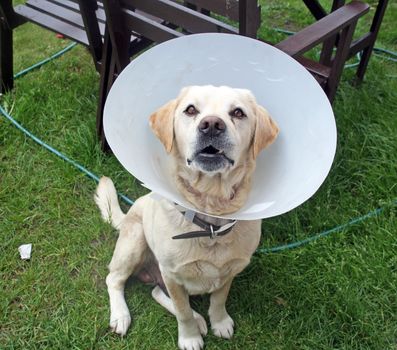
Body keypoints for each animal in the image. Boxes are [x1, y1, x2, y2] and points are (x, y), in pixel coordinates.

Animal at [94, 85, 276, 350]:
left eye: (238, 112)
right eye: (191, 110)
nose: (212, 125)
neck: (210, 223)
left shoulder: (229, 272)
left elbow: (219, 299)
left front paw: (219, 323)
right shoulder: (171, 275)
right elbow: (183, 312)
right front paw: (190, 338)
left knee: (155, 292)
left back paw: (201, 319)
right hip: (135, 242)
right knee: (114, 279)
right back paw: (120, 316)